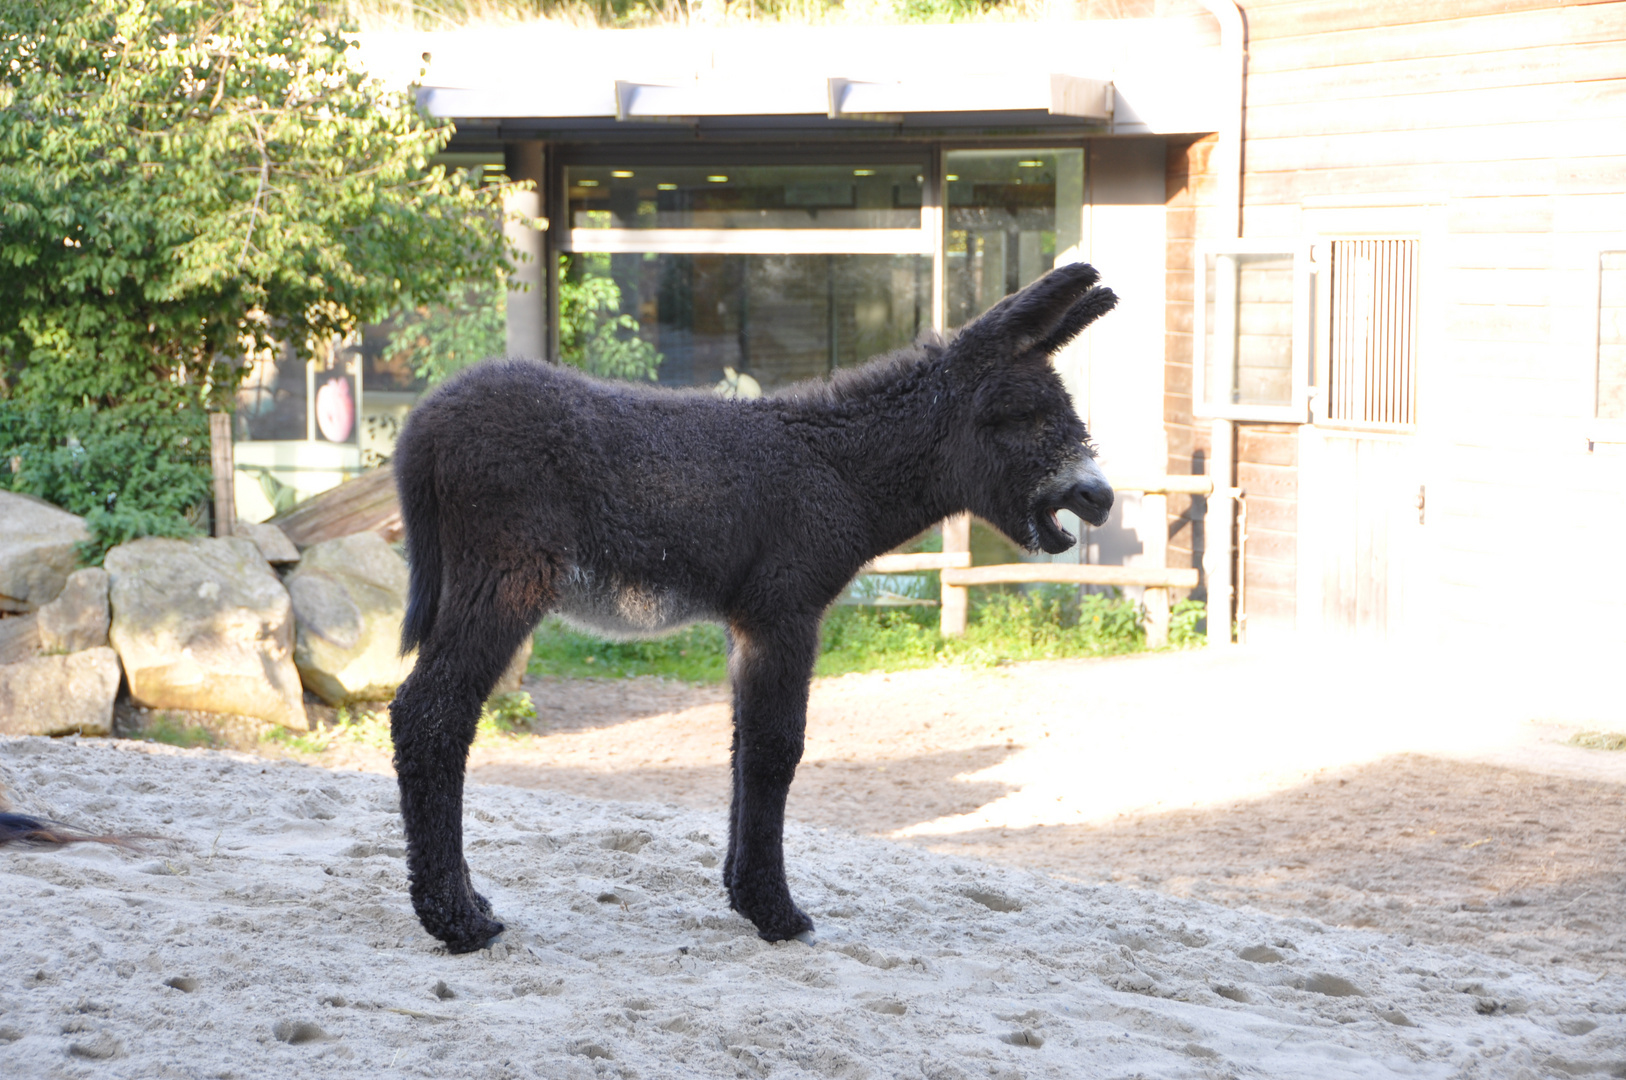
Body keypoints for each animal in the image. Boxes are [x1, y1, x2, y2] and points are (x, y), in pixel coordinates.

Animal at [390, 263, 1118, 956]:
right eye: (1019, 415)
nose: (1101, 497)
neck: (837, 469)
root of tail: (425, 420)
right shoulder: (785, 613)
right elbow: (777, 749)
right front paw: (778, 915)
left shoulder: (748, 624)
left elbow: (744, 748)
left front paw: (745, 898)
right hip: (507, 580)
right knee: (430, 714)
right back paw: (458, 922)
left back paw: (468, 904)